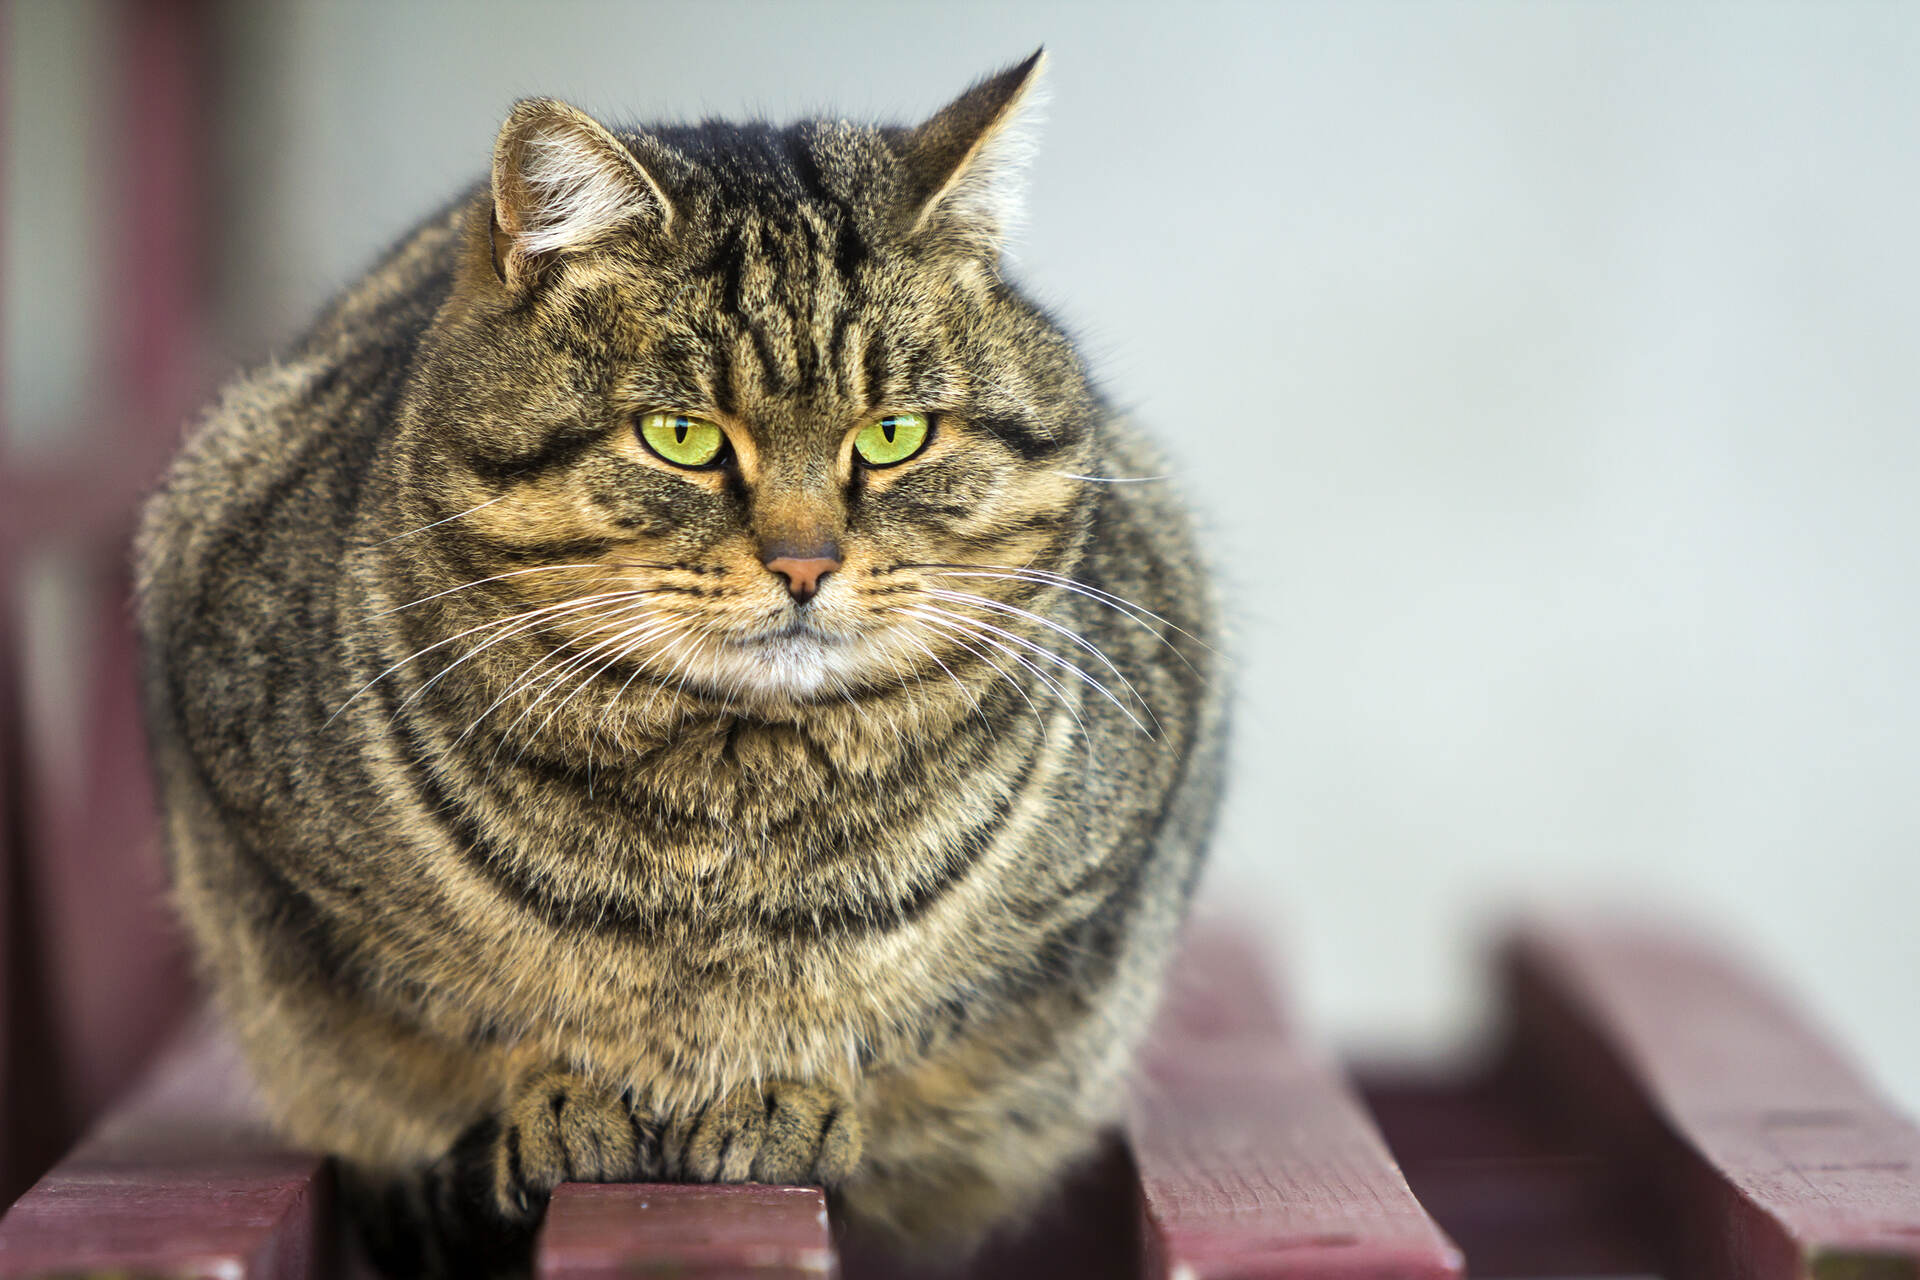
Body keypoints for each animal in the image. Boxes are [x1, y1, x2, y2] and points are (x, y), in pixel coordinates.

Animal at [135, 50, 1221, 1274]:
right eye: (683, 437)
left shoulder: (1099, 886)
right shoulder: (273, 861)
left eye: (893, 435)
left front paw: (787, 1090)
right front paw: (561, 1092)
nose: (805, 563)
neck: (727, 819)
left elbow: (896, 1024)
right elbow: (463, 1018)